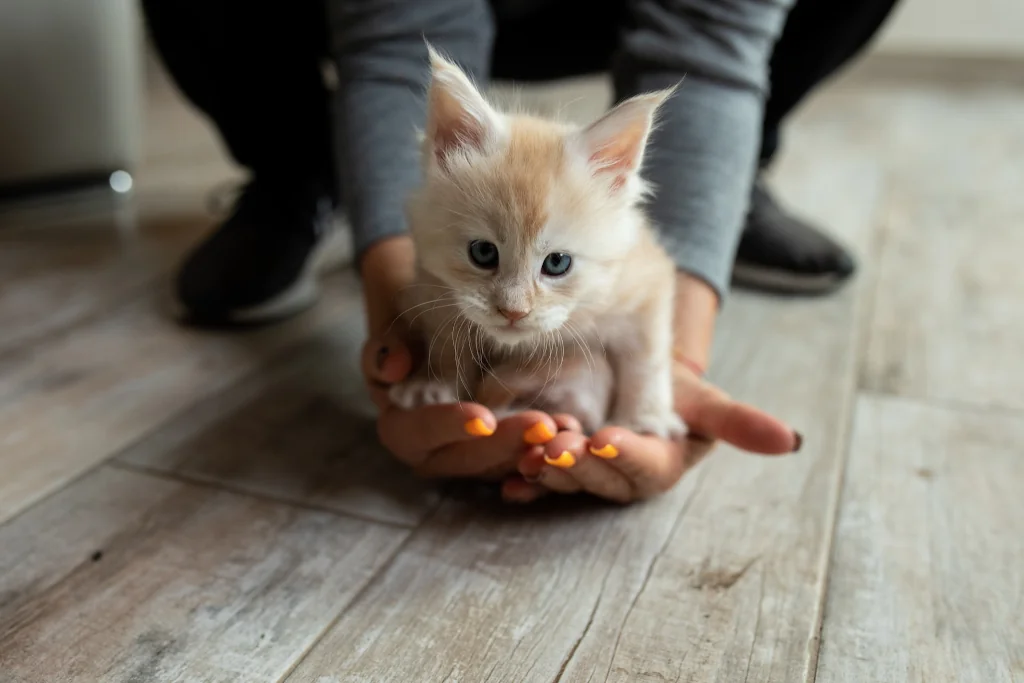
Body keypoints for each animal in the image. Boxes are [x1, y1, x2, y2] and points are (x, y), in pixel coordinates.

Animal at [391, 49, 688, 444]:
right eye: (483, 253)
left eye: (557, 263)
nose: (513, 312)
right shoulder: (434, 284)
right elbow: (445, 345)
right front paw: (433, 384)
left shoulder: (644, 286)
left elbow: (646, 359)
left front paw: (645, 418)